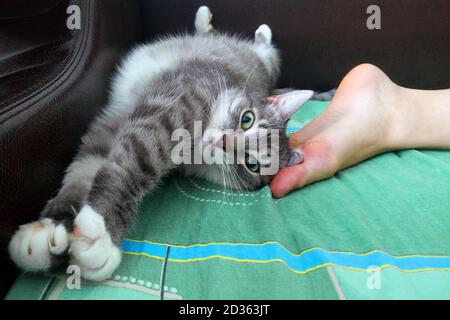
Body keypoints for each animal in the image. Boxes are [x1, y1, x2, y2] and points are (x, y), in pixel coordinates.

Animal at [8, 6, 314, 282]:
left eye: (251, 165)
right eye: (247, 119)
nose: (224, 141)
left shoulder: (130, 127)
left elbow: (105, 166)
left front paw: (99, 233)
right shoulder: (170, 106)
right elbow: (95, 170)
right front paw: (55, 230)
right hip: (260, 60)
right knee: (254, 43)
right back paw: (217, 21)